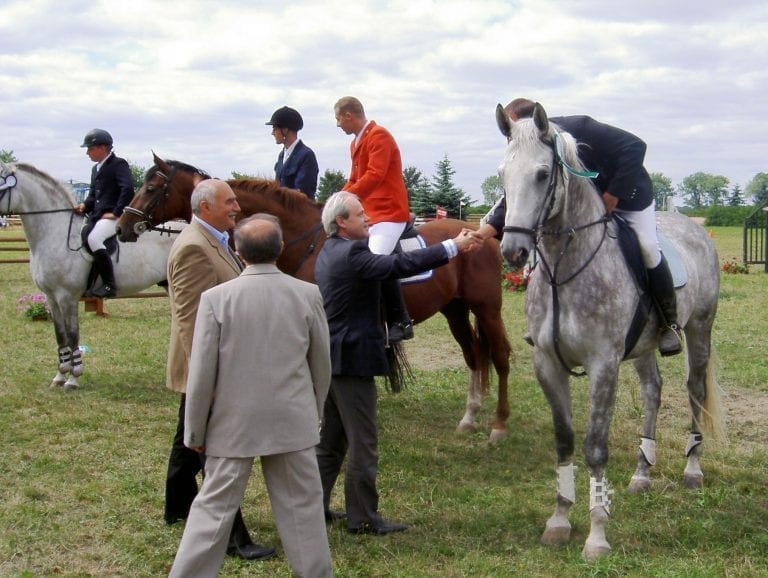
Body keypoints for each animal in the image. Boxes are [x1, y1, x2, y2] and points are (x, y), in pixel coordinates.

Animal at [0, 160, 184, 390]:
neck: (55, 234)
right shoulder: (51, 297)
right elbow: (60, 336)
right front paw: (59, 376)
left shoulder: (67, 297)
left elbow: (72, 335)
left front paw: (73, 378)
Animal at [115, 152, 510, 436]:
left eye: (152, 188)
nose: (121, 227)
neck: (306, 239)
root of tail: (482, 233)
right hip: (455, 309)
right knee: (474, 355)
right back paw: (469, 418)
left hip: (487, 308)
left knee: (500, 356)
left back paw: (498, 426)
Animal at [496, 103, 724, 560]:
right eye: (502, 175)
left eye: (543, 175)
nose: (512, 252)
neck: (564, 270)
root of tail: (694, 227)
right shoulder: (547, 364)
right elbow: (565, 441)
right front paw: (559, 521)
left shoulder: (603, 365)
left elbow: (594, 447)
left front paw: (597, 535)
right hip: (643, 348)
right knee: (653, 391)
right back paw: (642, 473)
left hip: (700, 328)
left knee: (693, 389)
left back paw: (692, 469)